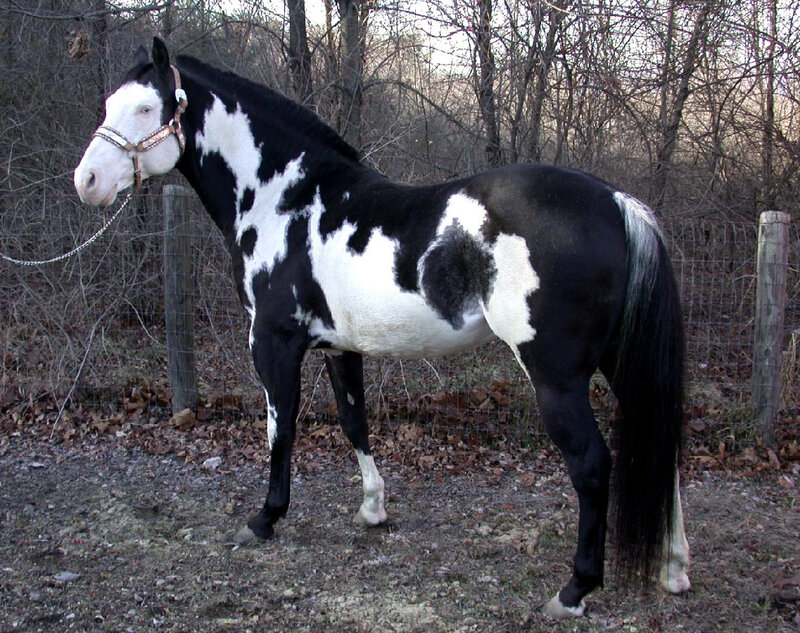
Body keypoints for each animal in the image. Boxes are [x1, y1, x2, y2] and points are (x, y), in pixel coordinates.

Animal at [74, 38, 691, 618]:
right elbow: (354, 422)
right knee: (664, 450)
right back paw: (674, 566)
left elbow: (280, 430)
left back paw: (575, 589)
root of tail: (616, 203)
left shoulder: (274, 343)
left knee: (592, 465)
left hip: (556, 378)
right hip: (619, 363)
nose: (87, 181)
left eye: (147, 107)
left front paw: (265, 518)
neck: (285, 200)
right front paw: (372, 508)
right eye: (107, 105)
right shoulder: (337, 346)